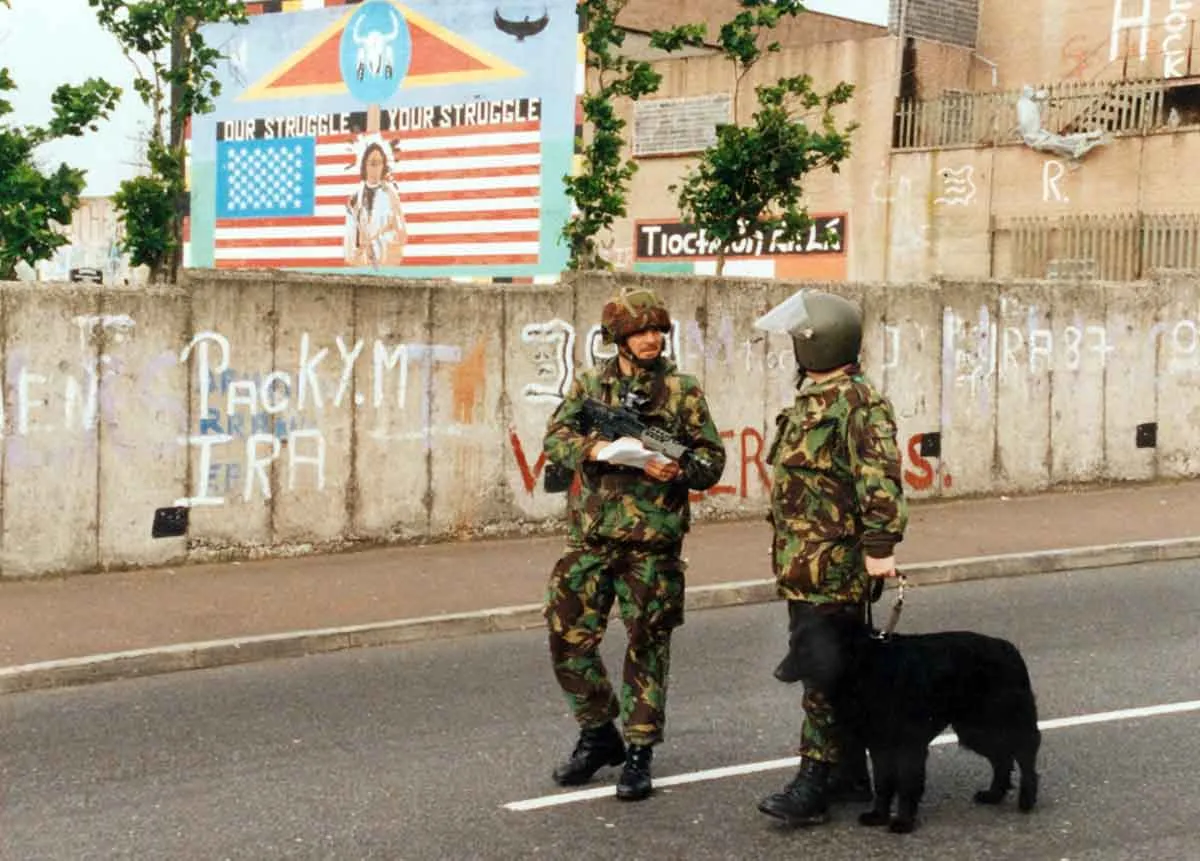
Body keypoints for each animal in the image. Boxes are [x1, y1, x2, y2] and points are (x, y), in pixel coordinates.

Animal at [777, 611, 1041, 834]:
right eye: (791, 645)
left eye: (806, 648)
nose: (776, 673)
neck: (864, 667)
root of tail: (1009, 648)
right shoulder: (880, 746)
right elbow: (883, 785)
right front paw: (879, 816)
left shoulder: (909, 747)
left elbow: (906, 785)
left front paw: (903, 822)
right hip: (975, 731)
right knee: (1003, 759)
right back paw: (994, 795)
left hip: (998, 725)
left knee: (1025, 758)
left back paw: (1027, 800)